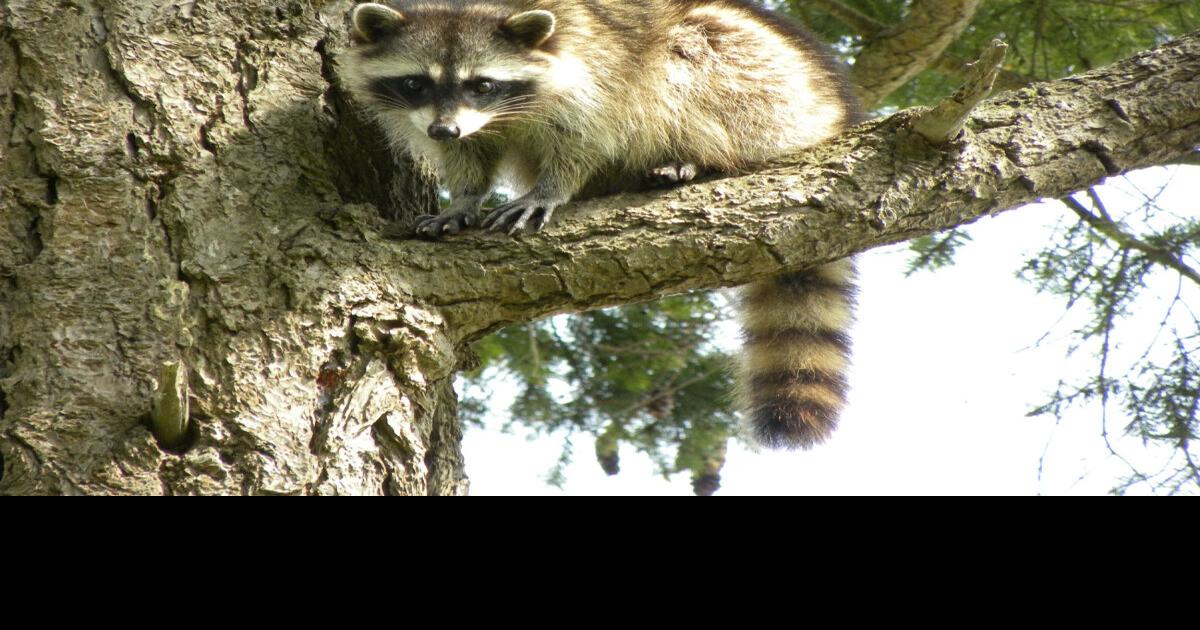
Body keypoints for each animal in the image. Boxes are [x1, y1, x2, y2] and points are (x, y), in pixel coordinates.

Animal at [340, 0, 861, 449]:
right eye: (415, 84)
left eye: (481, 85)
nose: (442, 129)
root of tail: (834, 113)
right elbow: (467, 155)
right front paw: (464, 198)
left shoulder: (594, 72)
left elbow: (588, 134)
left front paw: (552, 187)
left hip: (770, 87)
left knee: (695, 56)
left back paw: (701, 158)